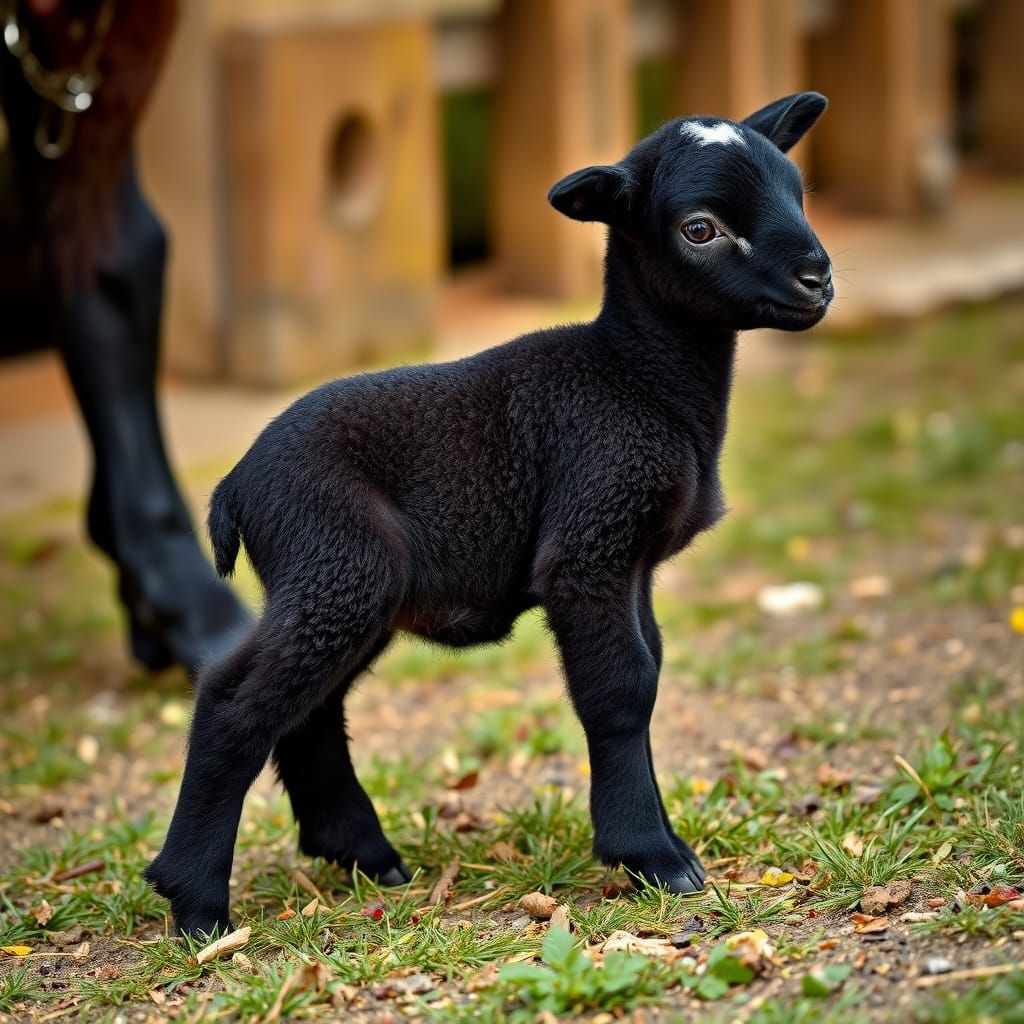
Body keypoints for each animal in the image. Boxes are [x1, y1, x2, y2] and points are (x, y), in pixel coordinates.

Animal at [146, 91, 833, 936]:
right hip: (335, 562)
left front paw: (667, 843)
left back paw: (364, 855)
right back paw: (196, 899)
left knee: (309, 708)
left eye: (796, 192)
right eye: (699, 229)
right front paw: (651, 856)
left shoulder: (632, 562)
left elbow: (651, 668)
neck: (638, 379)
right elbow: (621, 690)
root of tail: (237, 484)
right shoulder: (589, 542)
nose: (817, 277)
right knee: (235, 699)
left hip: (349, 587)